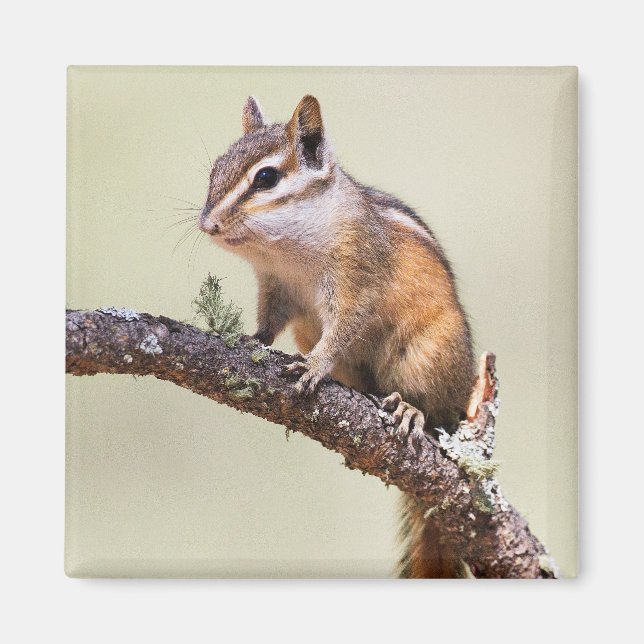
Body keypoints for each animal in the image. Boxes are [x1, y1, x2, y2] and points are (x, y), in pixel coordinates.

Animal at [198, 95, 476, 578]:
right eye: (216, 168)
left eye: (266, 178)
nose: (207, 224)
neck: (286, 251)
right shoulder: (276, 287)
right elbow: (269, 320)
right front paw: (254, 340)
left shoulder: (356, 280)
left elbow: (345, 328)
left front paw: (313, 367)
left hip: (429, 356)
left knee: (436, 415)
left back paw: (410, 410)